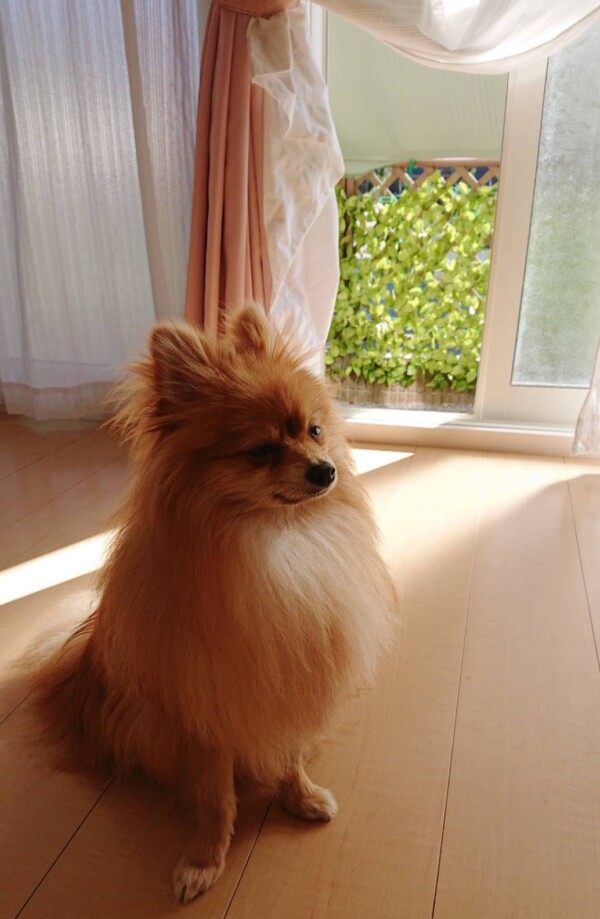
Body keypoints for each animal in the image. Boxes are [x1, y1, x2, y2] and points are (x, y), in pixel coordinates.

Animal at [33, 305, 397, 903]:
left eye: (315, 430)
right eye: (261, 450)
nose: (325, 469)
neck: (276, 541)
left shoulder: (289, 676)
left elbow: (289, 752)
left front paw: (300, 797)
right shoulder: (204, 705)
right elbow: (214, 795)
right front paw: (205, 859)